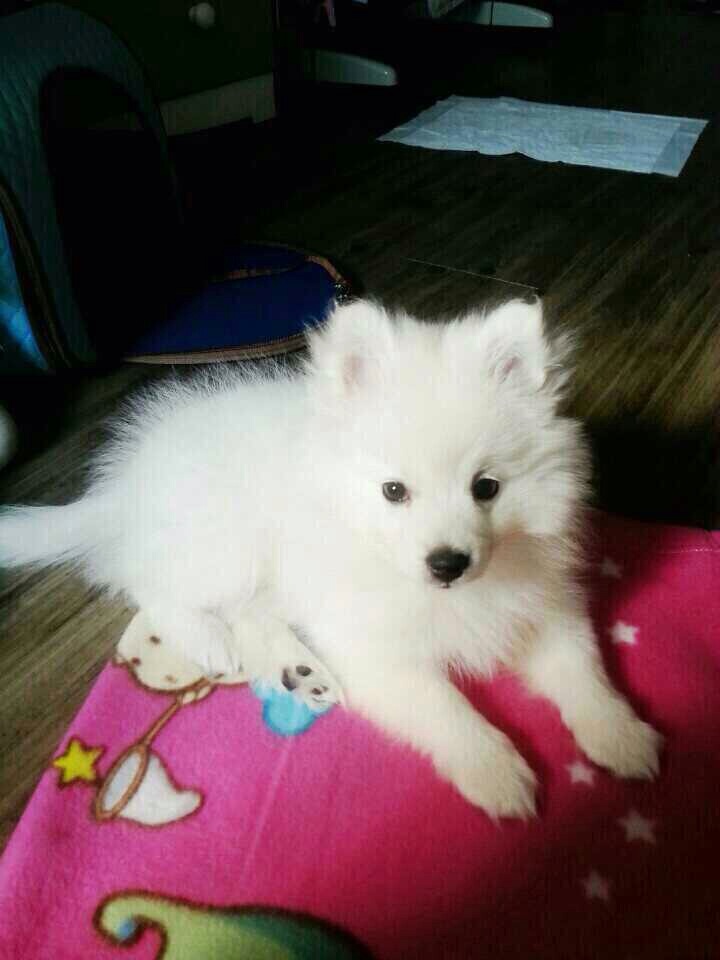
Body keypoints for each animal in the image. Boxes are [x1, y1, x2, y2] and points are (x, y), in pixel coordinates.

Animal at [0, 297, 661, 817]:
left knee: (248, 610)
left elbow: (582, 669)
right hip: (227, 543)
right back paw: (213, 642)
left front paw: (622, 736)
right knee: (151, 583)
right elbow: (445, 708)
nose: (448, 562)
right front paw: (497, 773)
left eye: (487, 487)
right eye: (394, 491)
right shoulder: (375, 650)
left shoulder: (543, 606)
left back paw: (299, 670)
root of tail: (124, 487)